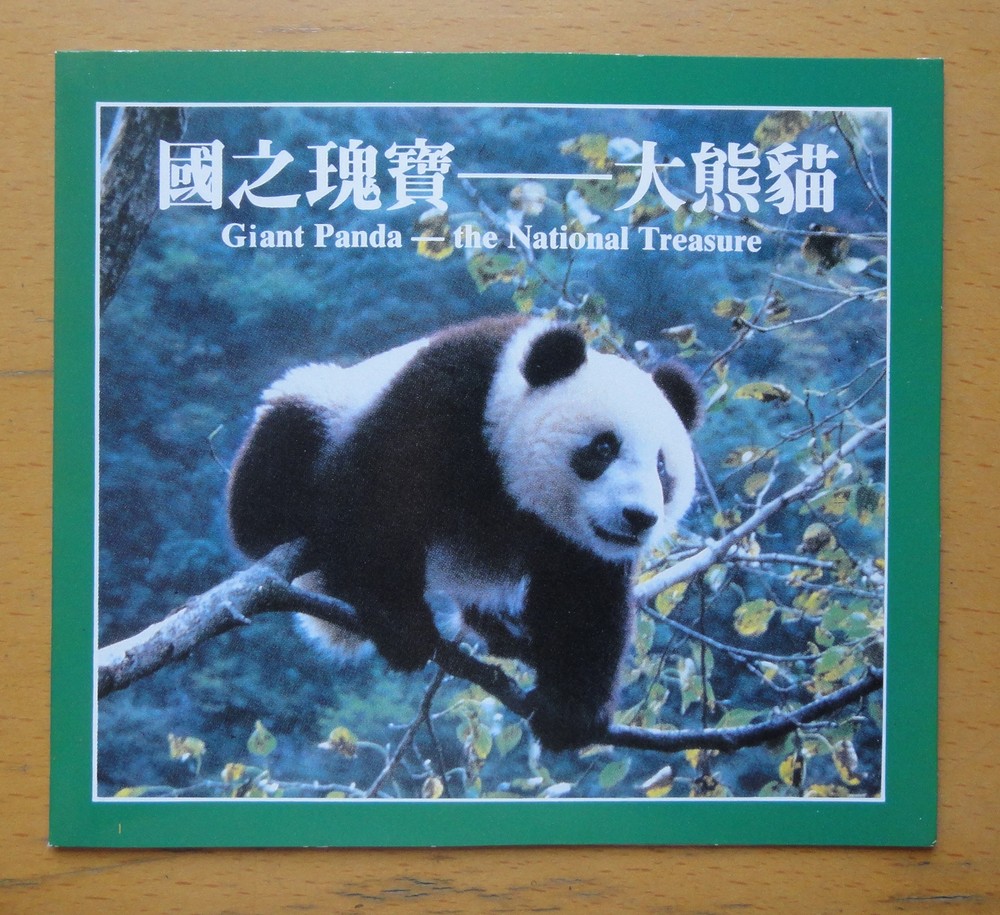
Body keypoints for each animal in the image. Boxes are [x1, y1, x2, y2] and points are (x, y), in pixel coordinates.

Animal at [228, 316, 700, 751]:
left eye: (662, 467)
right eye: (604, 447)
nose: (639, 517)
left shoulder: (580, 542)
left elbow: (584, 595)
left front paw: (569, 712)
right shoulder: (444, 398)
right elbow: (384, 497)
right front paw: (402, 626)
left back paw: (508, 630)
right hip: (328, 404)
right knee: (283, 444)